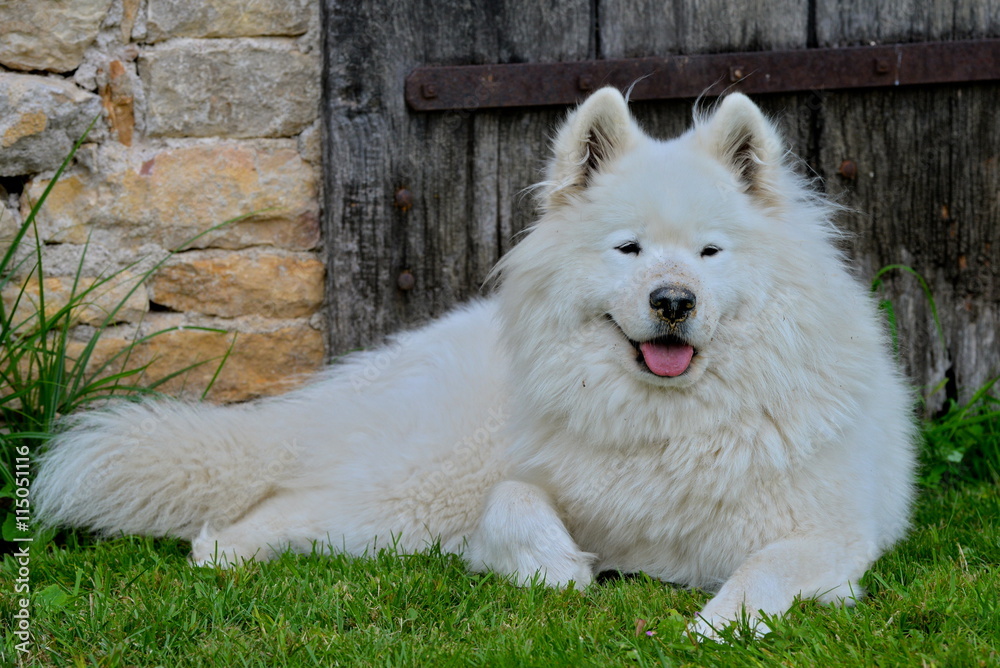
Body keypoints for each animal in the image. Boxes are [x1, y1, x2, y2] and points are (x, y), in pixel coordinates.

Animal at [37, 88, 916, 636]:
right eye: (628, 248)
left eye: (709, 252)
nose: (673, 301)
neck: (669, 424)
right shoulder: (513, 494)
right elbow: (515, 504)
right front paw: (558, 569)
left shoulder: (829, 536)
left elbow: (760, 575)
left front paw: (713, 625)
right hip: (418, 492)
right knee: (266, 514)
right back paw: (227, 556)